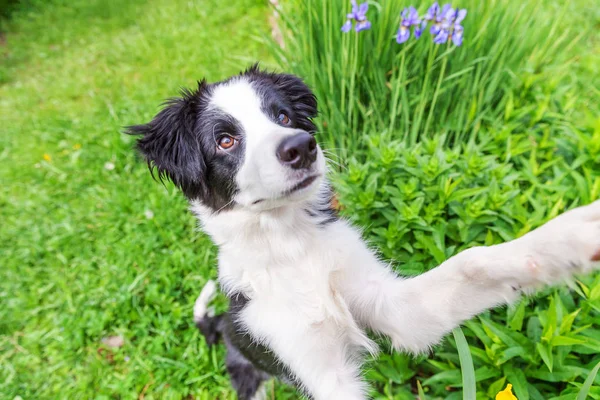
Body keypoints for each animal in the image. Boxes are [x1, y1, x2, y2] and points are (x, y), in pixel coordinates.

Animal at [127, 65, 600, 400]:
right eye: (225, 141)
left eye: (283, 115)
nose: (301, 146)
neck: (291, 246)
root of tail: (219, 325)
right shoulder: (319, 369)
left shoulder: (394, 307)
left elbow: (471, 264)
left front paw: (575, 234)